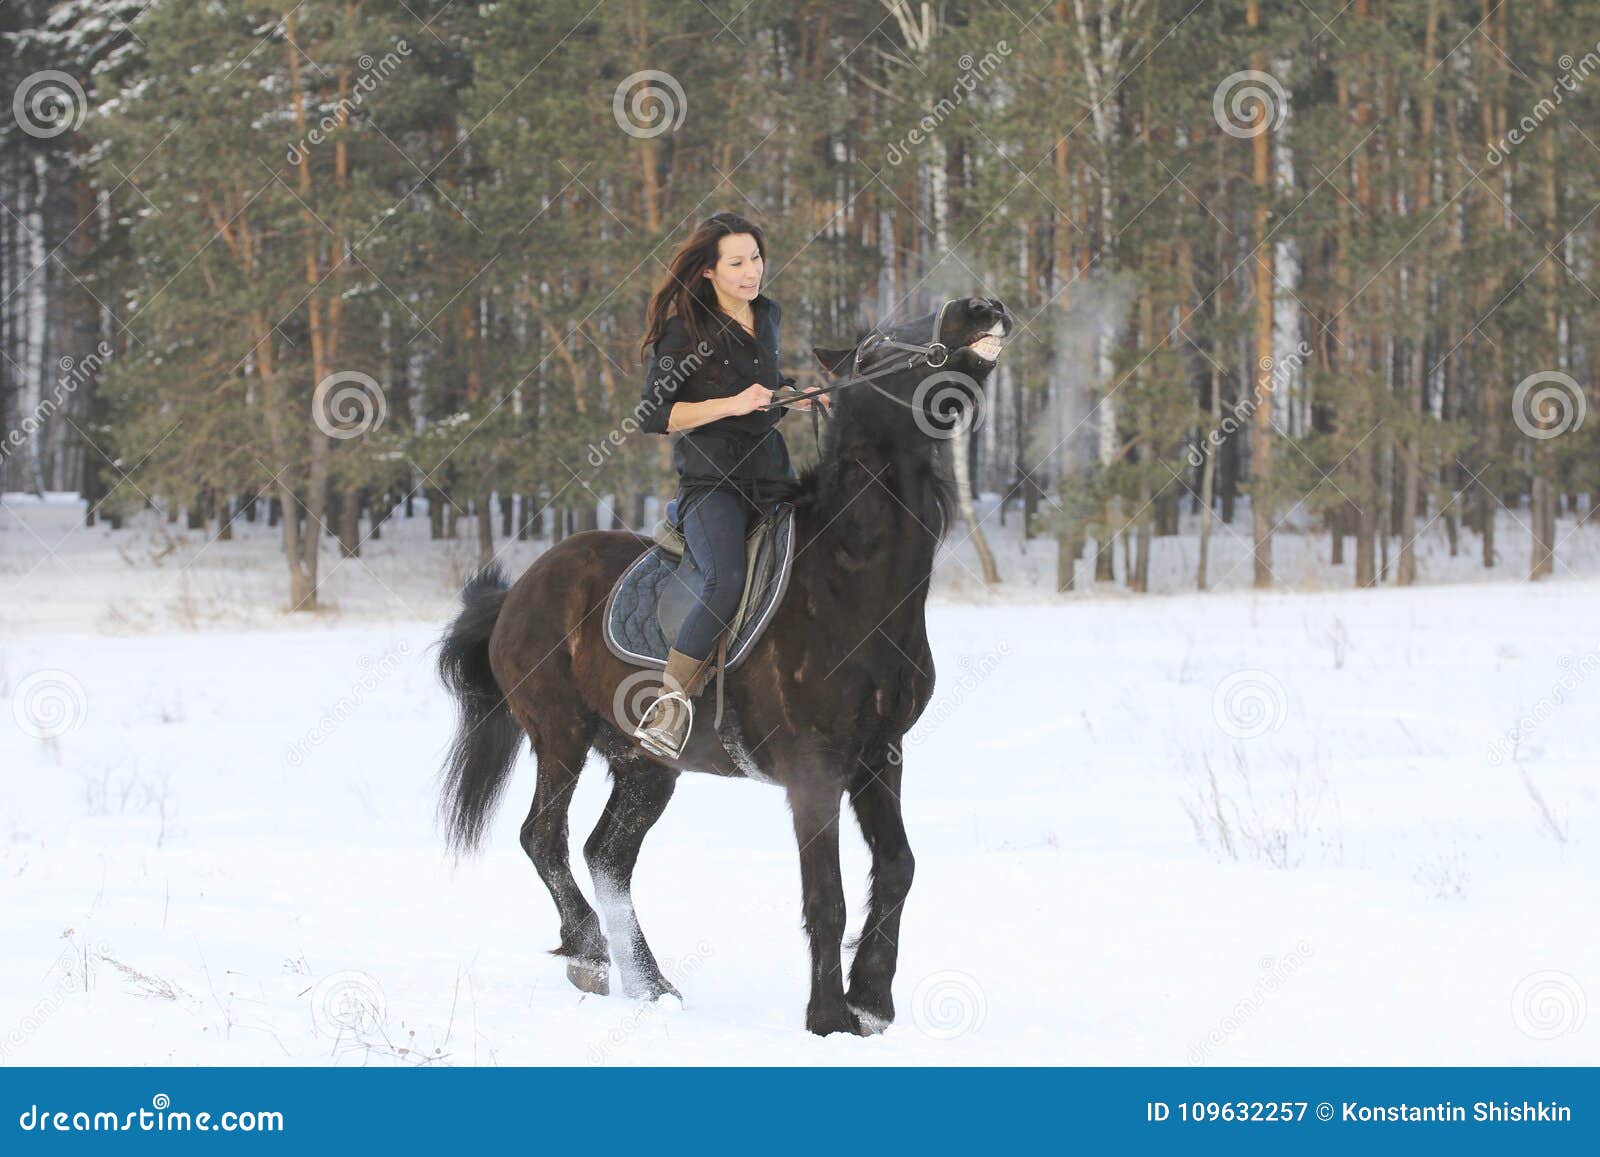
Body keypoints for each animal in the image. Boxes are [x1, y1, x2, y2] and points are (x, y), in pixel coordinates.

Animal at [438, 294, 1011, 1036]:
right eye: (879, 346)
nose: (980, 308)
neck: (850, 583)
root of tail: (518, 591)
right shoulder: (814, 770)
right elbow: (826, 895)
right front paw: (829, 1016)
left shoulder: (880, 754)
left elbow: (898, 867)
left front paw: (872, 999)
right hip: (559, 737)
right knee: (544, 838)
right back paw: (591, 955)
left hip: (645, 764)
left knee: (606, 854)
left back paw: (650, 984)